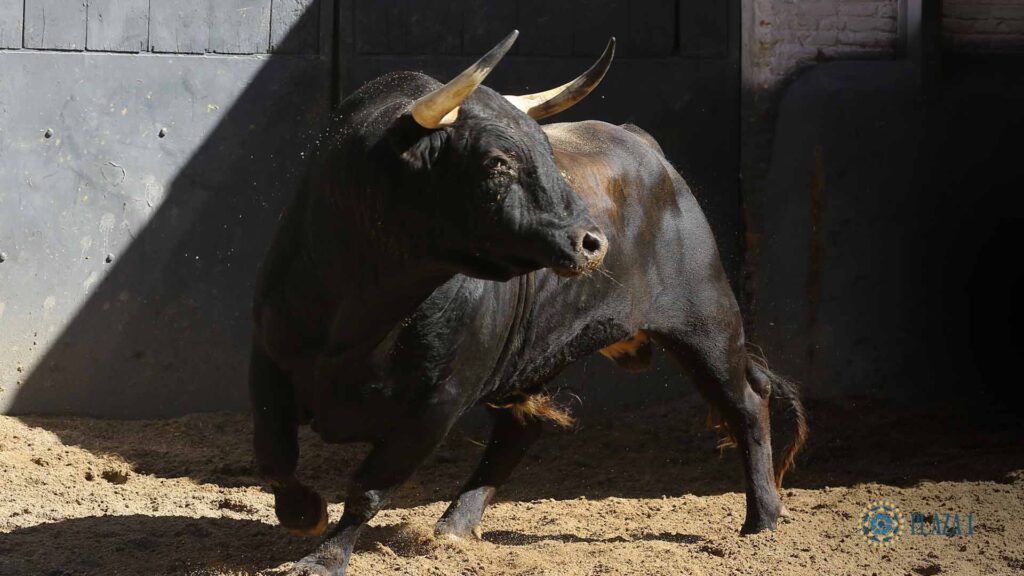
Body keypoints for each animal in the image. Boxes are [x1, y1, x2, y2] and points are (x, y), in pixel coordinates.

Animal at [249, 32, 806, 573]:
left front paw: (323, 558)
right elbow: (273, 456)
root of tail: (645, 145)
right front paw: (303, 514)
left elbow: (369, 486)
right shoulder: (269, 360)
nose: (593, 243)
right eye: (498, 163)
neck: (364, 315)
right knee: (522, 429)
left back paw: (762, 520)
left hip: (707, 323)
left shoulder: (438, 401)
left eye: (545, 154)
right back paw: (454, 526)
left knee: (746, 404)